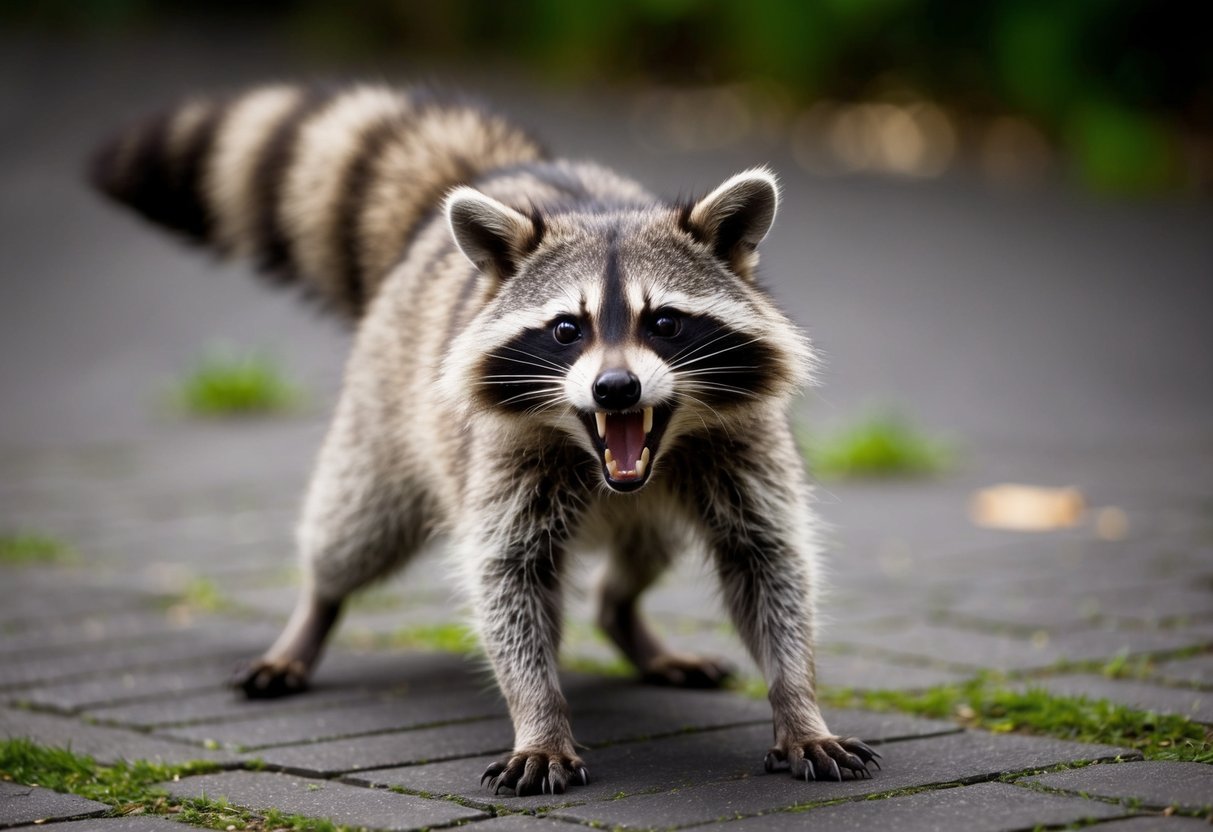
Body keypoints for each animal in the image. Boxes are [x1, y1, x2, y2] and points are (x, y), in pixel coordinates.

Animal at [90, 83, 879, 794]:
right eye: (566, 330)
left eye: (664, 323)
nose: (615, 390)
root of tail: (503, 175)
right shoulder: (502, 454)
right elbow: (508, 580)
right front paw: (539, 718)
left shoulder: (743, 444)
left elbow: (769, 564)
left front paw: (797, 703)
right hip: (385, 412)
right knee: (354, 530)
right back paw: (312, 615)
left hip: (658, 505)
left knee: (645, 554)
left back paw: (624, 616)